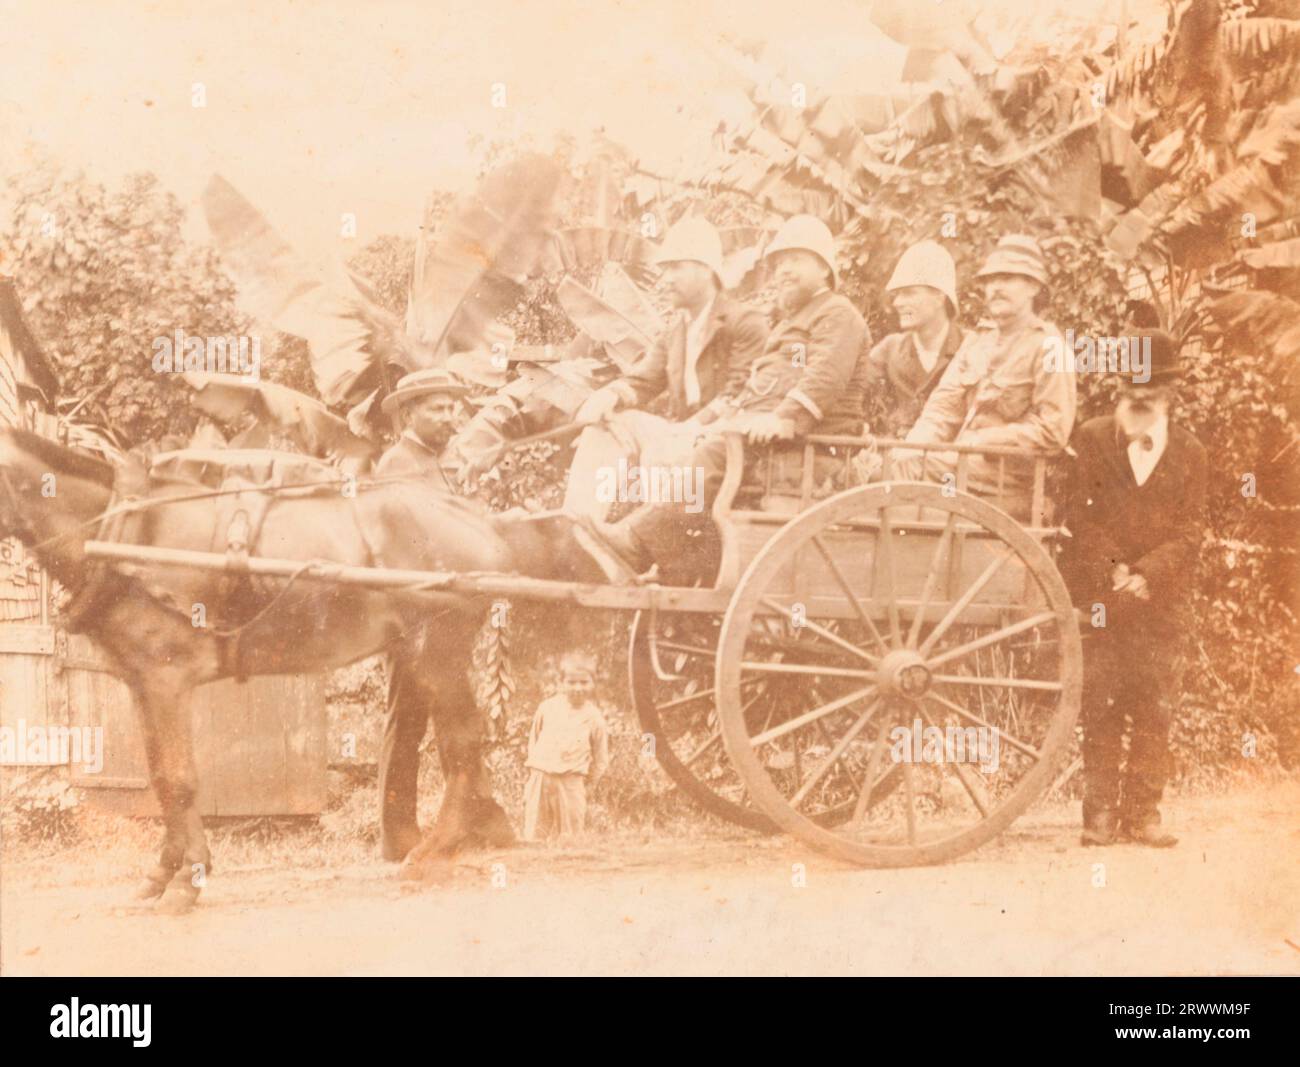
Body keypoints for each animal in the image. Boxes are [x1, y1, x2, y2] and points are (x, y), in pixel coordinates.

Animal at [0, 428, 608, 909]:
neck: (124, 534)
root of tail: (485, 524)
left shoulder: (167, 678)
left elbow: (179, 780)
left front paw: (188, 881)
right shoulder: (142, 683)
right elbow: (158, 777)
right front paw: (163, 873)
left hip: (437, 648)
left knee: (461, 743)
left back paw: (434, 852)